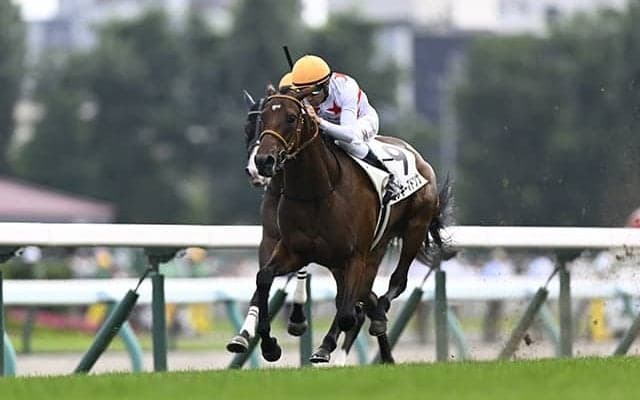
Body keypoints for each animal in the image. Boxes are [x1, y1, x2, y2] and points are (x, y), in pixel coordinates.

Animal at [251, 91, 451, 363]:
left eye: (291, 118)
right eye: (262, 117)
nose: (263, 160)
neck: (318, 192)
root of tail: (418, 158)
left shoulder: (355, 255)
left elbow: (348, 313)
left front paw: (325, 340)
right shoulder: (294, 251)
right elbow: (264, 277)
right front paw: (270, 345)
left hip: (414, 228)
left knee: (395, 282)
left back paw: (374, 319)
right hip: (366, 251)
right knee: (365, 293)